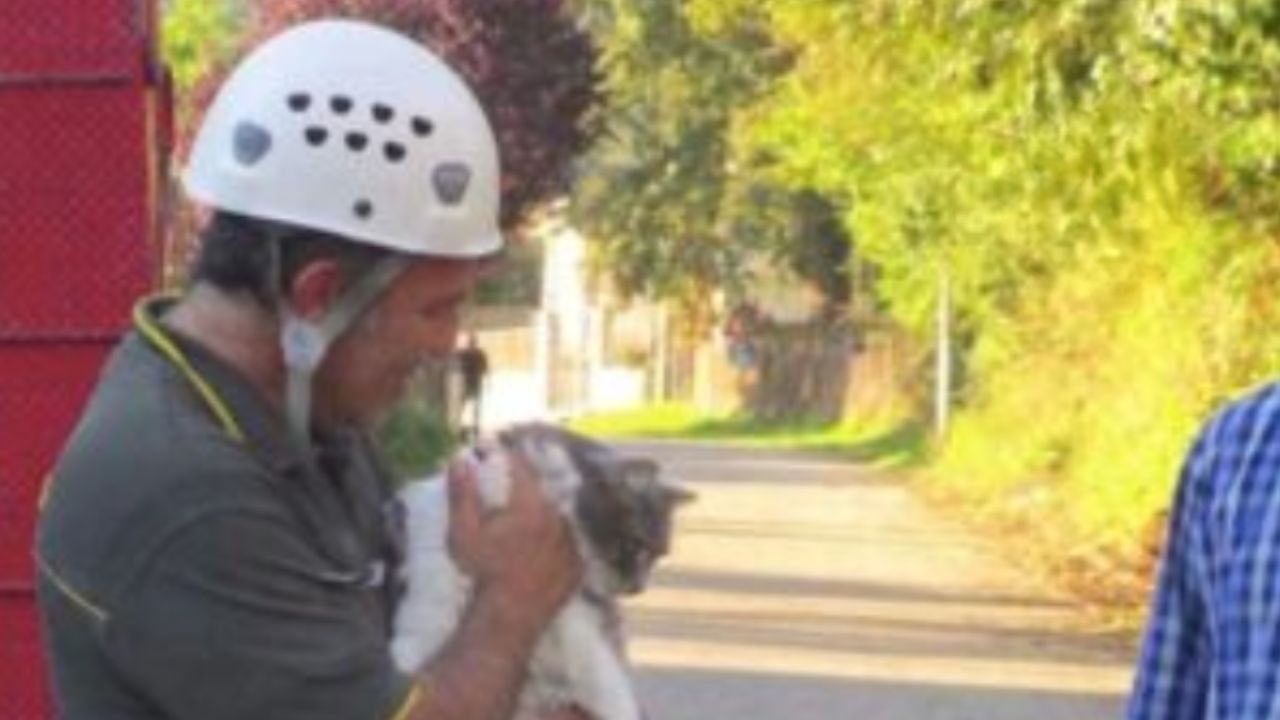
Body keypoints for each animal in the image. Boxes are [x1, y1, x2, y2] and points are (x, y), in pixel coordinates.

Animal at [389, 420, 696, 717]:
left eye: (658, 556)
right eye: (637, 547)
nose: (637, 588)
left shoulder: (581, 618)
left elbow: (605, 679)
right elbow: (432, 606)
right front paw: (405, 659)